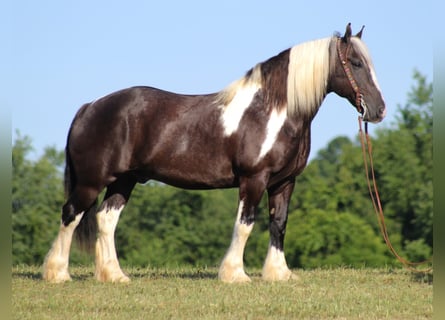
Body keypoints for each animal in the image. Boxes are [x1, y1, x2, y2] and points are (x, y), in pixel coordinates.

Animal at [42, 23, 386, 282]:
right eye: (356, 63)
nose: (379, 110)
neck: (272, 111)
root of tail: (91, 107)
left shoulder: (284, 182)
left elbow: (279, 224)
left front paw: (278, 274)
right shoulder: (254, 179)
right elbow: (245, 223)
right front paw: (235, 275)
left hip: (123, 181)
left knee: (105, 220)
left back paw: (114, 275)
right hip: (91, 181)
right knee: (70, 214)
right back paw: (57, 274)